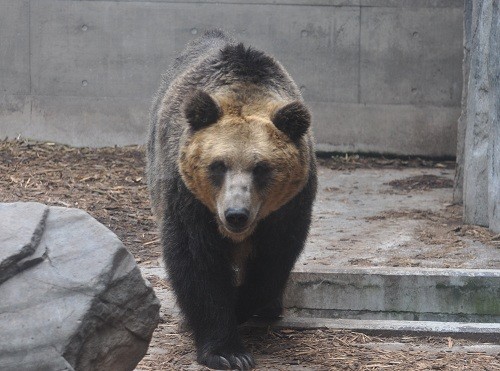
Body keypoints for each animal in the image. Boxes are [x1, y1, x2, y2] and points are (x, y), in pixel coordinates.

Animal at [146, 30, 316, 370]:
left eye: (261, 168)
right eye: (218, 165)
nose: (236, 214)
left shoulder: (288, 207)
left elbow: (272, 261)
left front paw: (240, 306)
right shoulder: (189, 199)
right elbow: (197, 261)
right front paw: (227, 351)